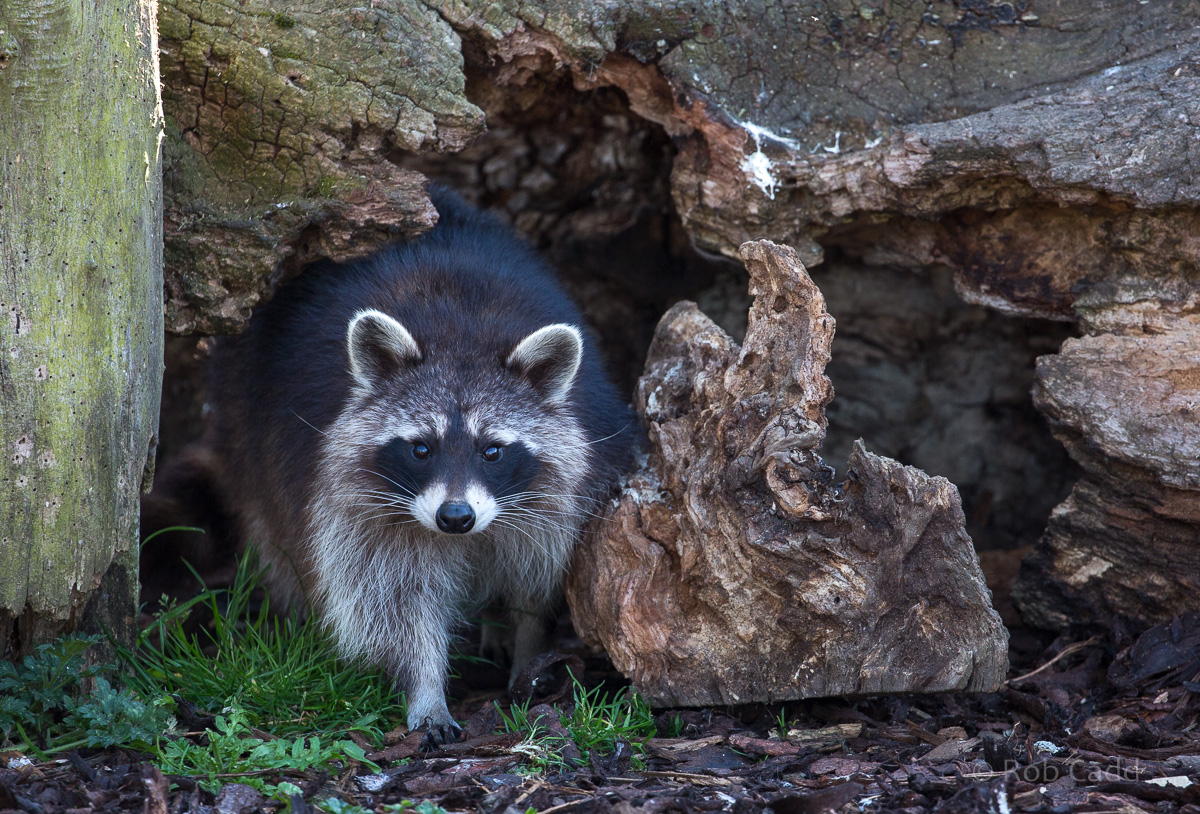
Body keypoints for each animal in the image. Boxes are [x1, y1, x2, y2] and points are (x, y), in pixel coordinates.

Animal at [155, 189, 635, 746]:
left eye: (492, 451)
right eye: (420, 449)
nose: (455, 517)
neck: (461, 335)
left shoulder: (559, 489)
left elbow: (535, 576)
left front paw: (529, 652)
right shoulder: (356, 505)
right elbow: (391, 600)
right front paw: (426, 687)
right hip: (248, 423)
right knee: (277, 536)